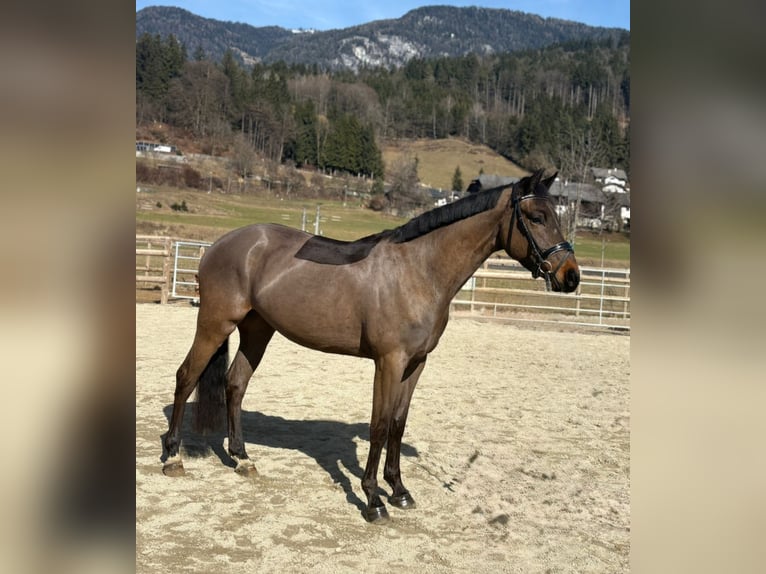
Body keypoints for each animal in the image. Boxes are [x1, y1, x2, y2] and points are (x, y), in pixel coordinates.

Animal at [161, 169, 580, 523]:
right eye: (537, 217)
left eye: (556, 214)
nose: (571, 277)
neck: (418, 271)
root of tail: (220, 244)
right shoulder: (389, 362)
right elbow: (378, 425)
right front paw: (374, 499)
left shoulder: (416, 363)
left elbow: (398, 424)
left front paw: (399, 491)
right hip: (215, 323)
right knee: (186, 377)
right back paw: (171, 457)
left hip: (257, 330)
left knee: (235, 384)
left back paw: (243, 458)